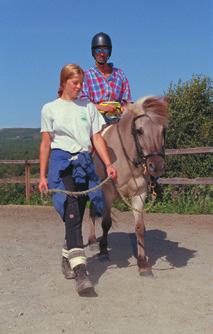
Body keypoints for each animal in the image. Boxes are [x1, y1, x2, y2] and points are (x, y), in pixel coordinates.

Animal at [88, 96, 168, 276]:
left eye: (163, 131)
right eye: (139, 131)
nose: (156, 166)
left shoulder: (140, 194)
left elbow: (139, 227)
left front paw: (142, 262)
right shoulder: (107, 192)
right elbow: (106, 222)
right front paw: (103, 252)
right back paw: (92, 241)